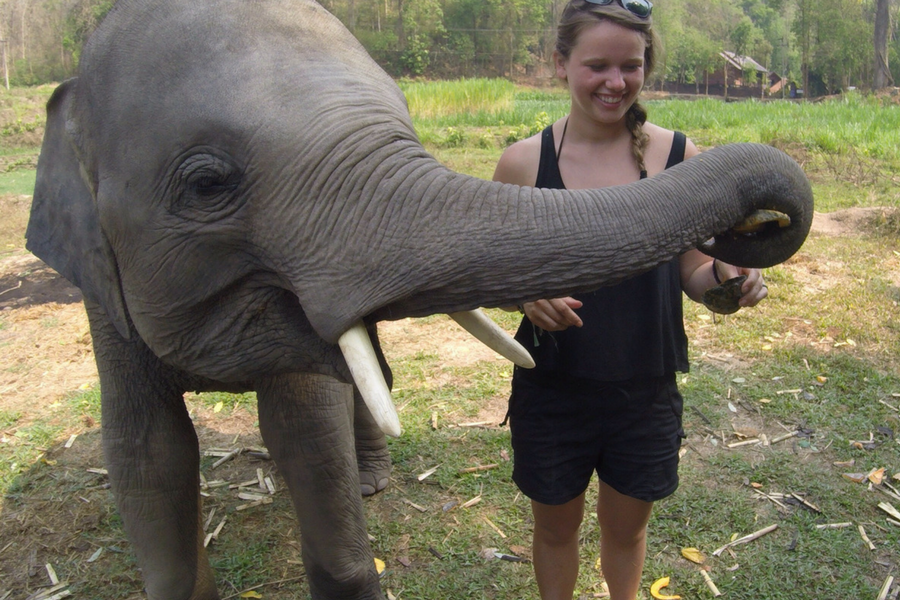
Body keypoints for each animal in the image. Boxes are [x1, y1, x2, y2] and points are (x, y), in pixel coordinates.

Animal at [26, 1, 816, 600]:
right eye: (207, 183)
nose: (755, 227)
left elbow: (305, 427)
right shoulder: (103, 292)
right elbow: (145, 451)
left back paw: (370, 480)